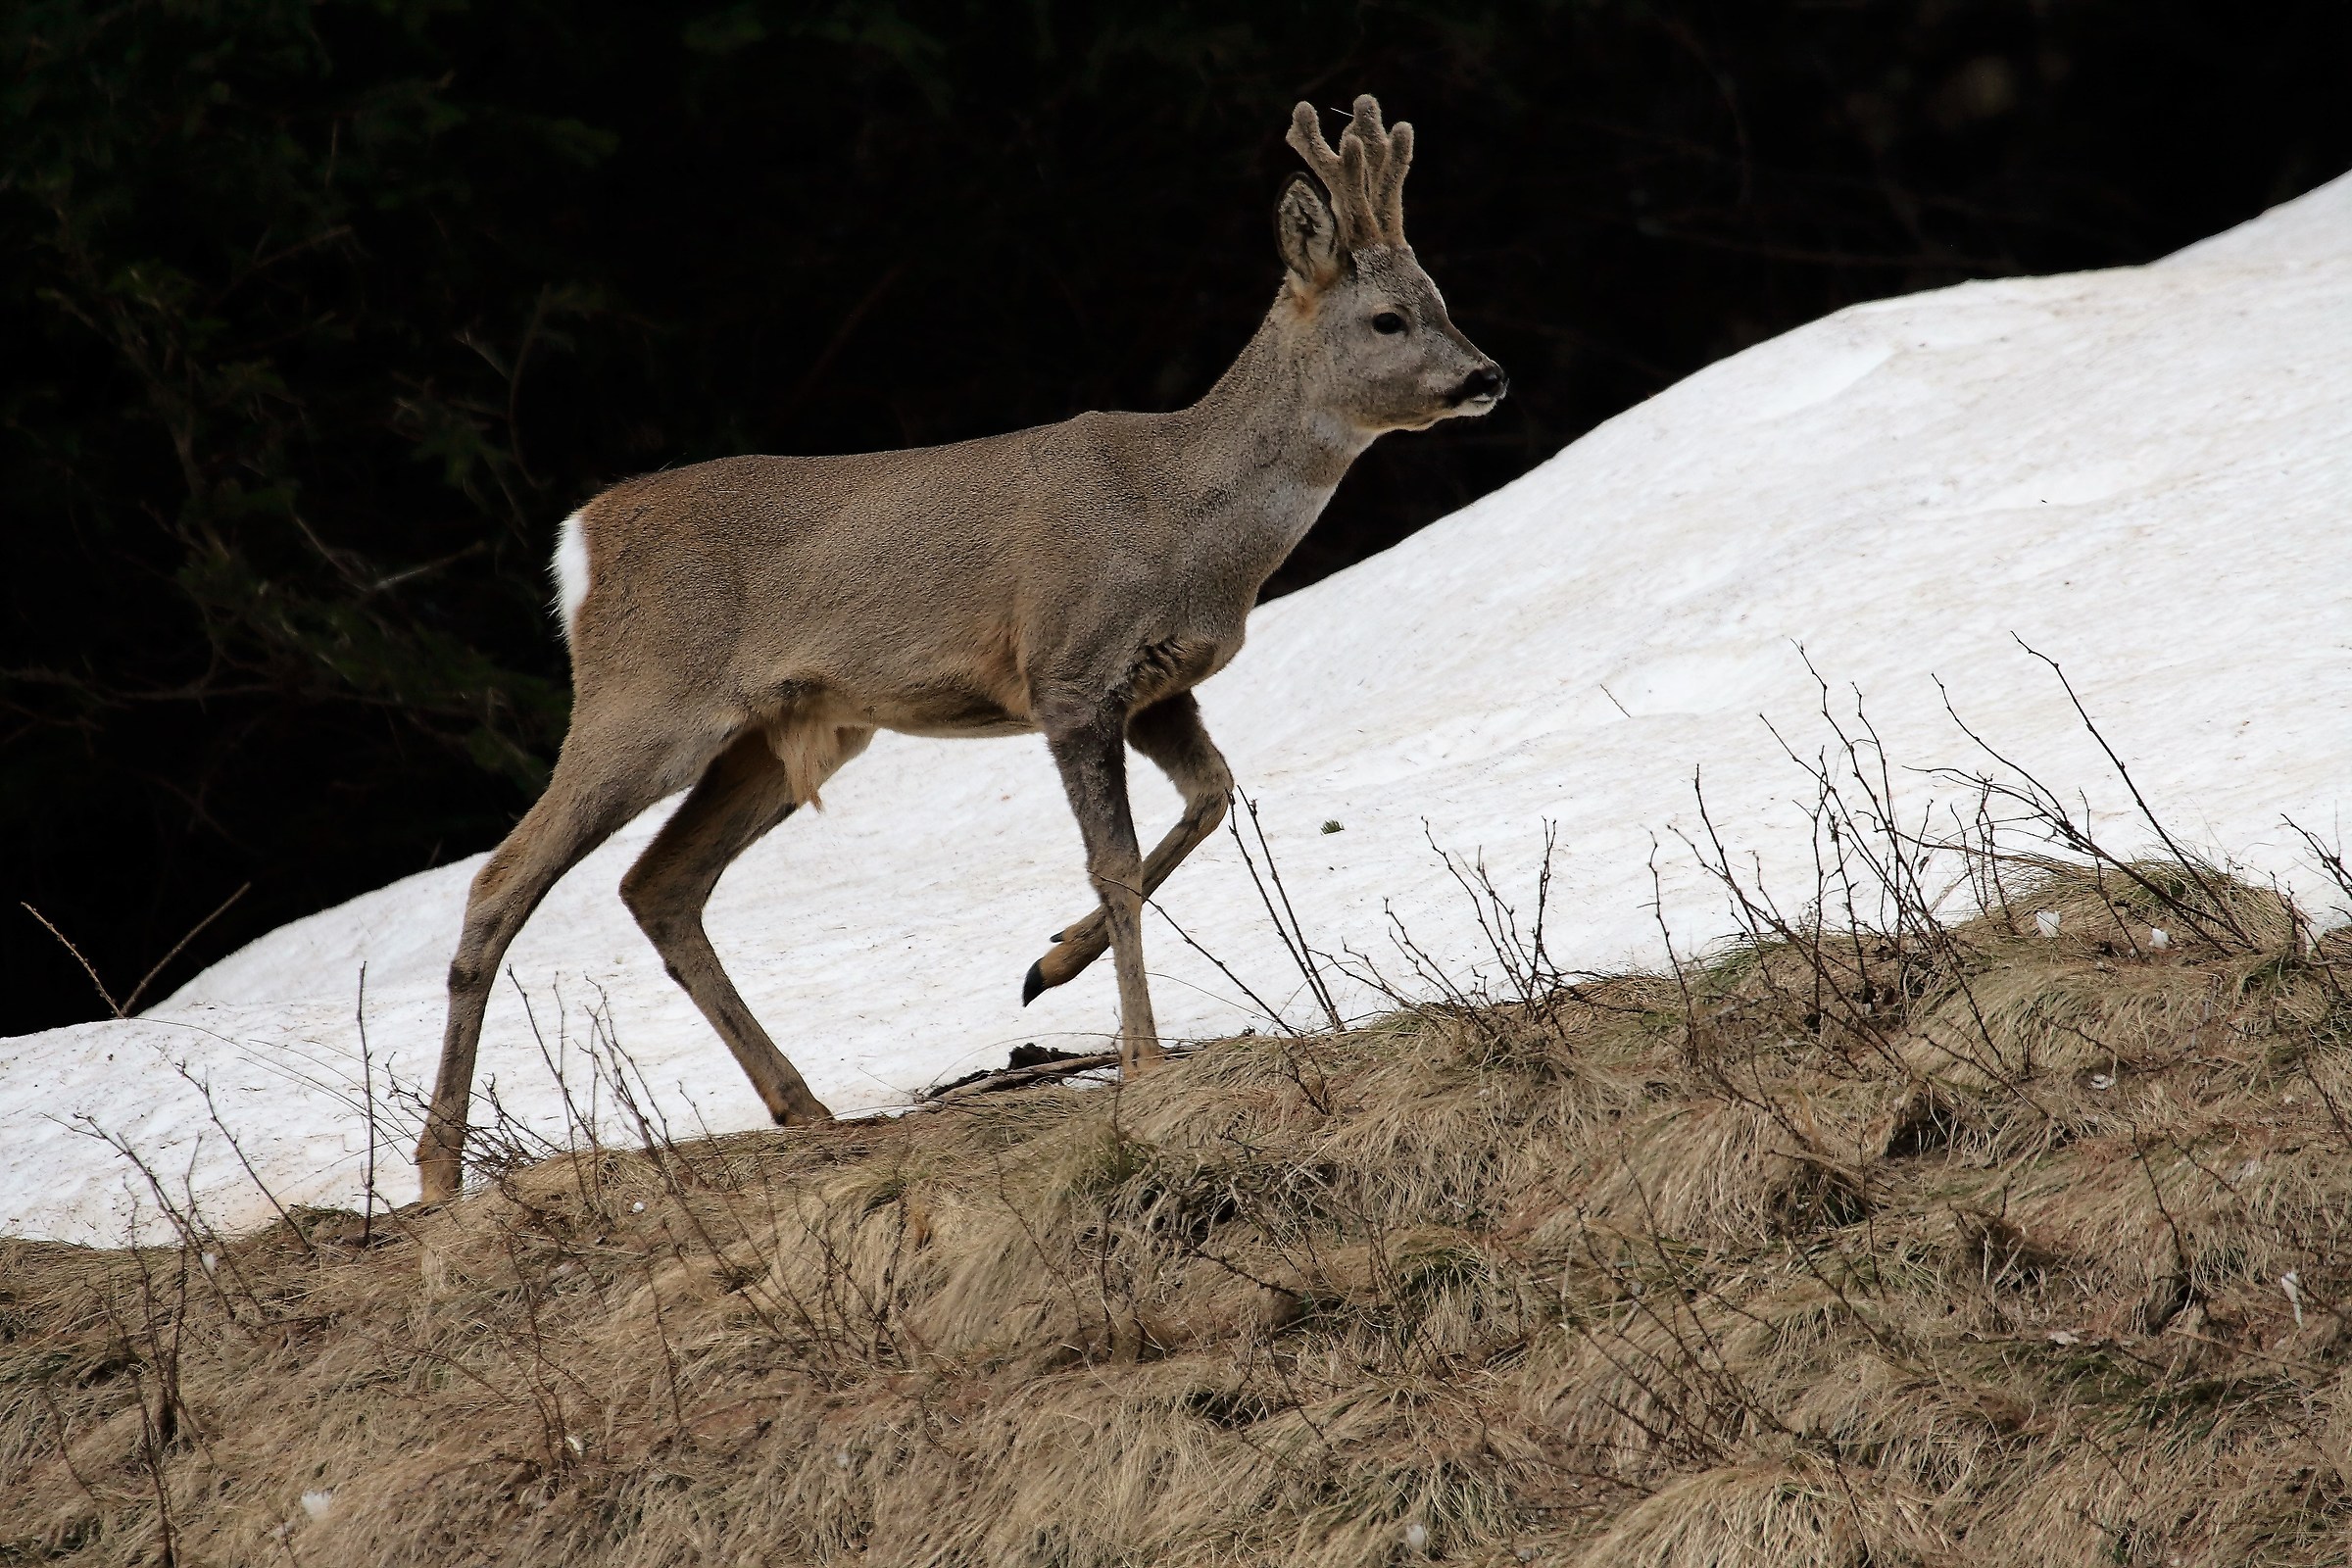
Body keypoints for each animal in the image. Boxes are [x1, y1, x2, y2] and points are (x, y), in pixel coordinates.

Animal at [414, 95, 1504, 1203]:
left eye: (1441, 297)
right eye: (1387, 318)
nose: (1487, 374)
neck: (1186, 520)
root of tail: (579, 542)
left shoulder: (1158, 688)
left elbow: (1211, 797)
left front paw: (1049, 964)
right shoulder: (1069, 670)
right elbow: (1113, 860)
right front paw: (1142, 1056)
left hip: (791, 730)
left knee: (660, 886)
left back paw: (805, 1107)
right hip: (646, 701)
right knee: (501, 881)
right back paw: (437, 1169)